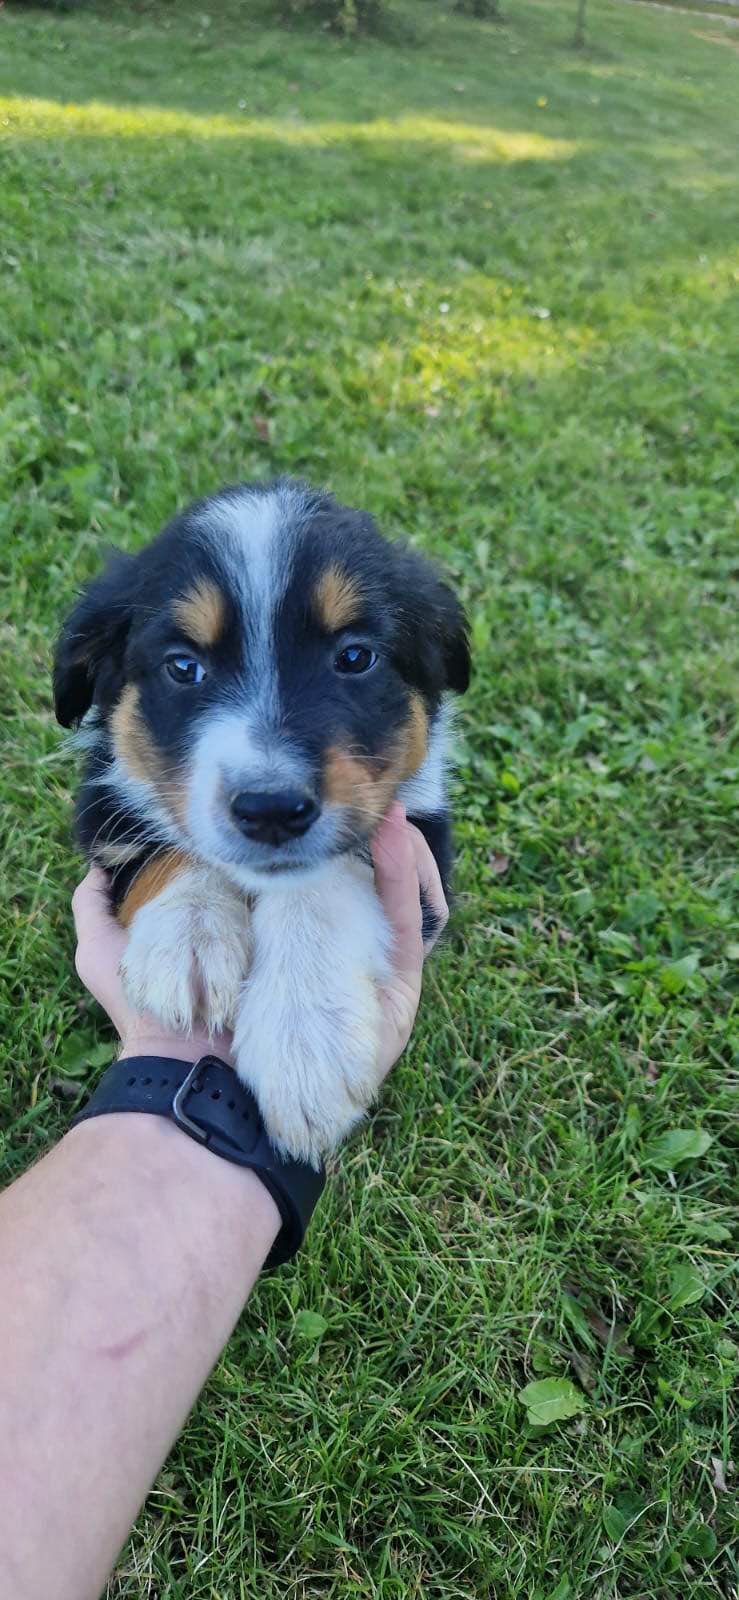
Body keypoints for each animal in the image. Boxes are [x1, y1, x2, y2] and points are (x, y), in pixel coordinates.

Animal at [54, 473, 467, 1164]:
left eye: (355, 657)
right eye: (183, 666)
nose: (271, 809)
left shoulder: (419, 839)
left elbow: (320, 877)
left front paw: (305, 1040)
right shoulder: (105, 807)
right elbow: (168, 846)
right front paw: (189, 937)